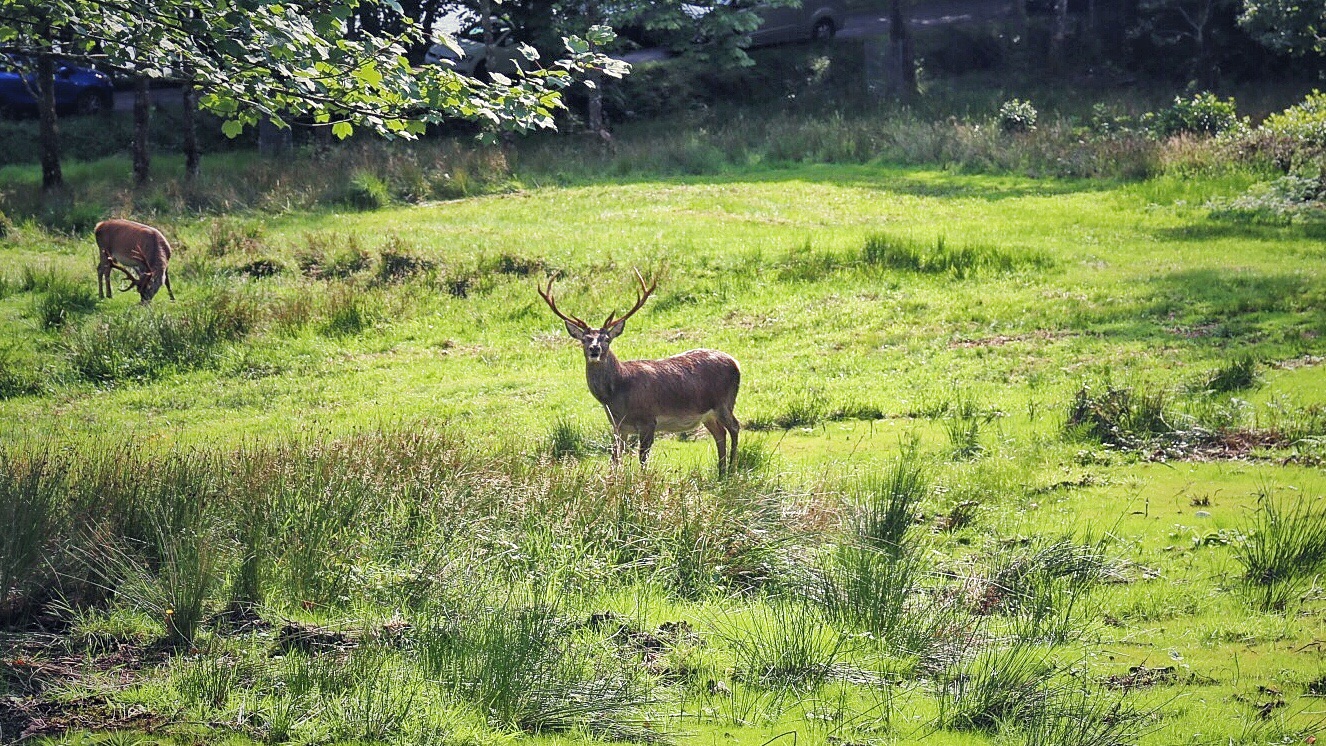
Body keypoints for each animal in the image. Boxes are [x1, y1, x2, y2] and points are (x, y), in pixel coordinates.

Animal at [541, 271, 747, 477]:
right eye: (584, 339)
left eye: (606, 339)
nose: (594, 349)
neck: (615, 396)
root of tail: (736, 363)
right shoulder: (618, 426)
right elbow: (615, 459)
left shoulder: (648, 420)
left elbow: (642, 459)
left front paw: (641, 481)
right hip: (708, 414)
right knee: (720, 433)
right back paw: (721, 473)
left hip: (724, 402)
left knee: (735, 427)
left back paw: (732, 470)